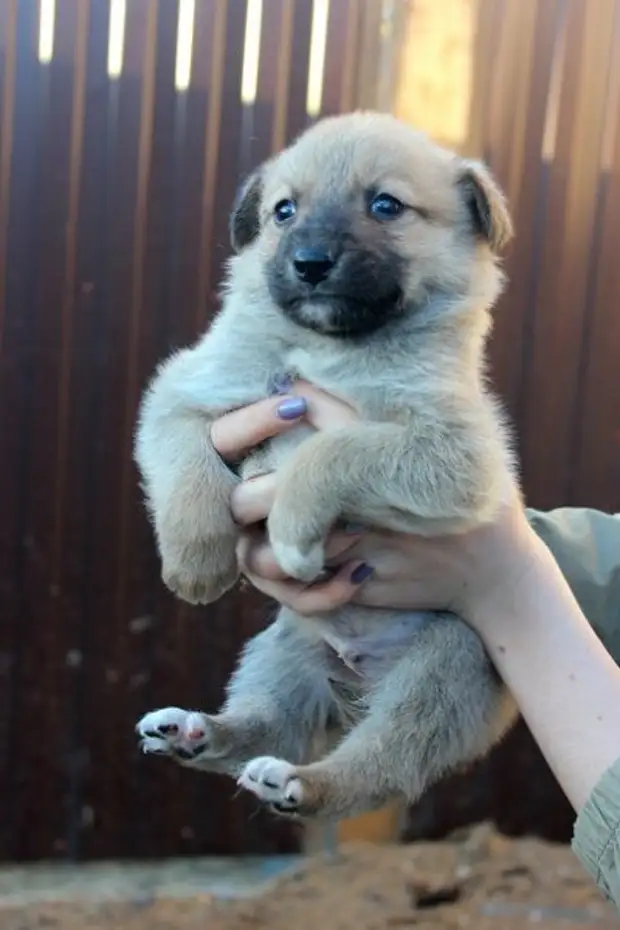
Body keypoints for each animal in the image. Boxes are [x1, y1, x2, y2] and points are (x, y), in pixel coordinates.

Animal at [134, 112, 520, 816]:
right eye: (283, 211)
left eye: (386, 205)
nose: (310, 264)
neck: (331, 348)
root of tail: (357, 667)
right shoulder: (184, 391)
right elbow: (185, 469)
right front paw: (195, 562)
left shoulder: (457, 457)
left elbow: (332, 448)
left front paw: (291, 532)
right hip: (283, 652)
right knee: (264, 724)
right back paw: (195, 732)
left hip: (443, 667)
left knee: (376, 766)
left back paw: (304, 782)